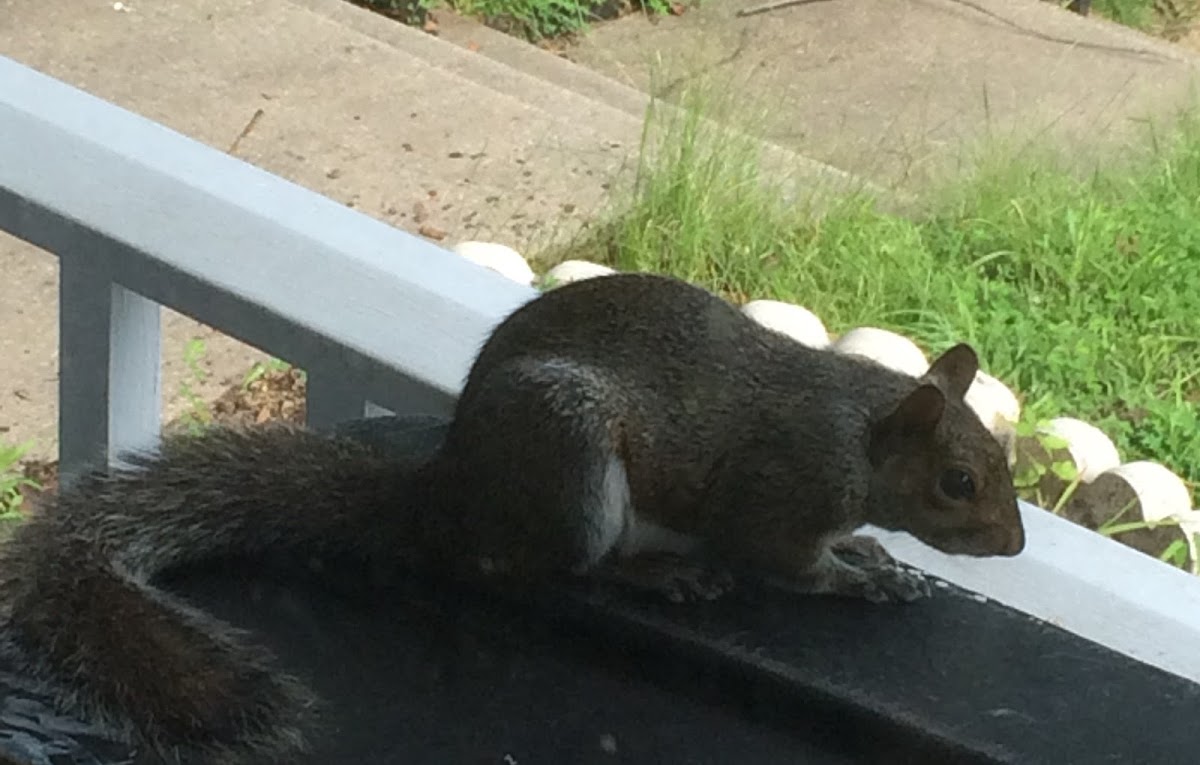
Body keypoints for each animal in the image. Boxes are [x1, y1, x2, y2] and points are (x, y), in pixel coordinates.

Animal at [0, 273, 1022, 762]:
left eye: (1004, 457)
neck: (856, 424)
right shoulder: (782, 489)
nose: (1014, 542)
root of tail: (448, 492)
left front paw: (880, 557)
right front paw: (858, 580)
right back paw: (656, 571)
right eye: (959, 480)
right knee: (543, 567)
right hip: (572, 460)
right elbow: (786, 563)